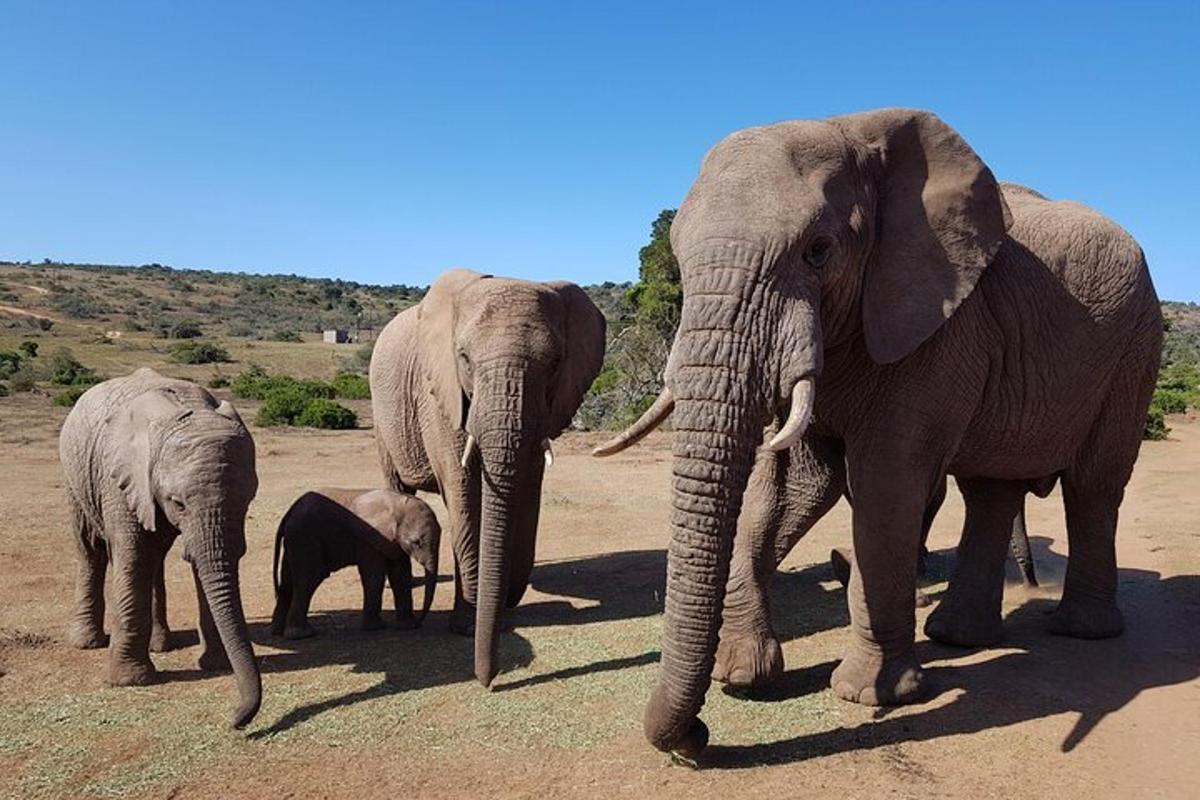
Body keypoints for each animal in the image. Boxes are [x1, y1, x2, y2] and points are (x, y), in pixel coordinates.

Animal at [59, 369, 261, 734]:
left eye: (248, 499)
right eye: (177, 502)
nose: (235, 719)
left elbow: (199, 560)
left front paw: (216, 664)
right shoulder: (121, 477)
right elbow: (133, 557)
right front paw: (129, 681)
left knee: (155, 558)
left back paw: (161, 644)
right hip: (74, 473)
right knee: (91, 550)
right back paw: (87, 642)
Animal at [271, 484, 441, 642]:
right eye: (417, 542)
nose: (419, 623)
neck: (397, 504)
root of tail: (289, 513)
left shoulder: (394, 541)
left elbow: (401, 576)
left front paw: (407, 626)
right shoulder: (370, 538)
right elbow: (374, 576)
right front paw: (376, 627)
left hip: (295, 540)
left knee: (287, 583)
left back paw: (278, 632)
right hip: (305, 538)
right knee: (309, 579)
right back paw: (302, 634)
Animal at [369, 271, 604, 690]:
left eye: (556, 363)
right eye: (463, 358)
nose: (488, 680)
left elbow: (527, 494)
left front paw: (498, 610)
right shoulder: (440, 396)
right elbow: (465, 499)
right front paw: (467, 628)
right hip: (384, 417)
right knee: (398, 486)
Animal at [600, 107, 1161, 758]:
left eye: (818, 251)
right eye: (679, 255)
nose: (694, 739)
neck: (854, 132)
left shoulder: (939, 323)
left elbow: (884, 485)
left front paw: (871, 696)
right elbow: (794, 486)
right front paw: (742, 676)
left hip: (1135, 349)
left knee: (1094, 485)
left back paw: (1080, 633)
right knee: (989, 491)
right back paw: (958, 638)